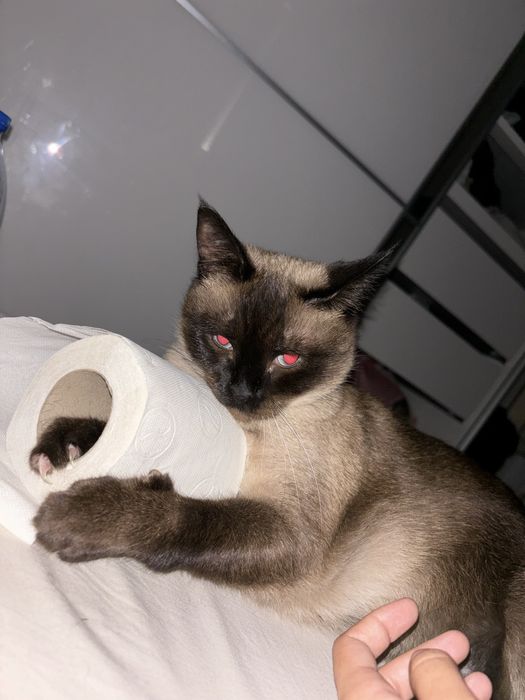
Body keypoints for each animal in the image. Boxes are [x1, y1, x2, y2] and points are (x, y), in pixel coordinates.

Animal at [32, 202, 525, 698]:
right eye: (223, 341)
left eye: (286, 359)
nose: (241, 392)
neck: (244, 425)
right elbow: (102, 427)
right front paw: (62, 446)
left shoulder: (289, 531)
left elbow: (188, 517)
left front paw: (78, 517)